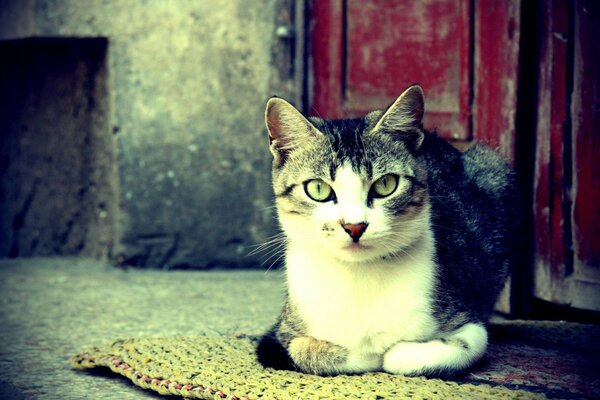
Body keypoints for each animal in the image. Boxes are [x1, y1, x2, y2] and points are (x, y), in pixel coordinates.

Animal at [255, 84, 516, 378]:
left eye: (386, 185)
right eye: (318, 189)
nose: (354, 226)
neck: (359, 275)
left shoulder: (469, 318)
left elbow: (452, 348)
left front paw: (394, 352)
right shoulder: (278, 336)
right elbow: (305, 349)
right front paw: (363, 352)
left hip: (494, 168)